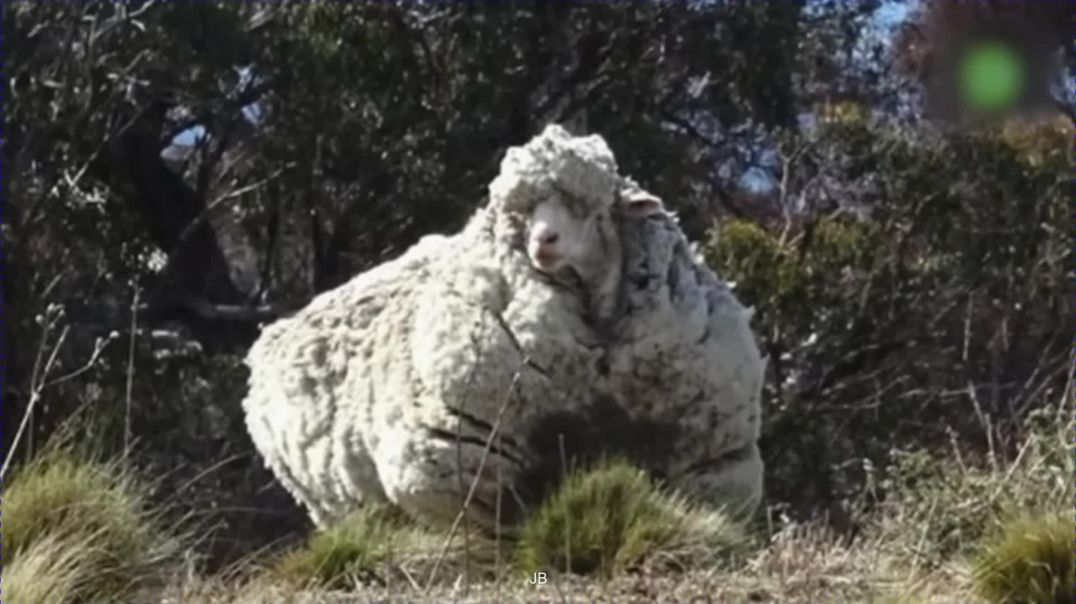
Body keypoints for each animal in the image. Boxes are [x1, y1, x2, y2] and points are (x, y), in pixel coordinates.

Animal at [242, 124, 765, 535]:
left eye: (591, 207)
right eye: (520, 214)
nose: (543, 242)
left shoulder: (711, 460)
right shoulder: (461, 466)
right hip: (333, 503)